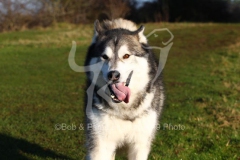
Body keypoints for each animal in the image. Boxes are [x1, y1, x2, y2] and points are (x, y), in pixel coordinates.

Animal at [84, 18, 165, 160]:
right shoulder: (100, 144)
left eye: (126, 56)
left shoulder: (140, 144)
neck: (124, 109)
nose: (113, 75)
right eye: (104, 57)